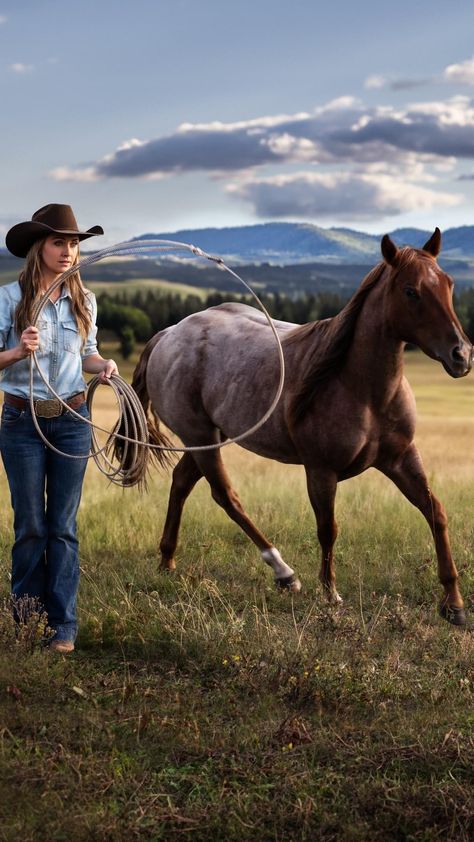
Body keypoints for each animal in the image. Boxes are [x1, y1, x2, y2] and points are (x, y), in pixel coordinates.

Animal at [124, 230, 472, 624]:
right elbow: (328, 528)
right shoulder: (321, 470)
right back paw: (284, 573)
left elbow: (436, 513)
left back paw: (167, 560)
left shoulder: (401, 460)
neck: (360, 388)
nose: (462, 355)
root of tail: (167, 335)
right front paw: (330, 594)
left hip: (211, 437)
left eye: (448, 284)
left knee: (183, 481)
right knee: (225, 495)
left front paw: (454, 604)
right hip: (200, 436)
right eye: (411, 291)